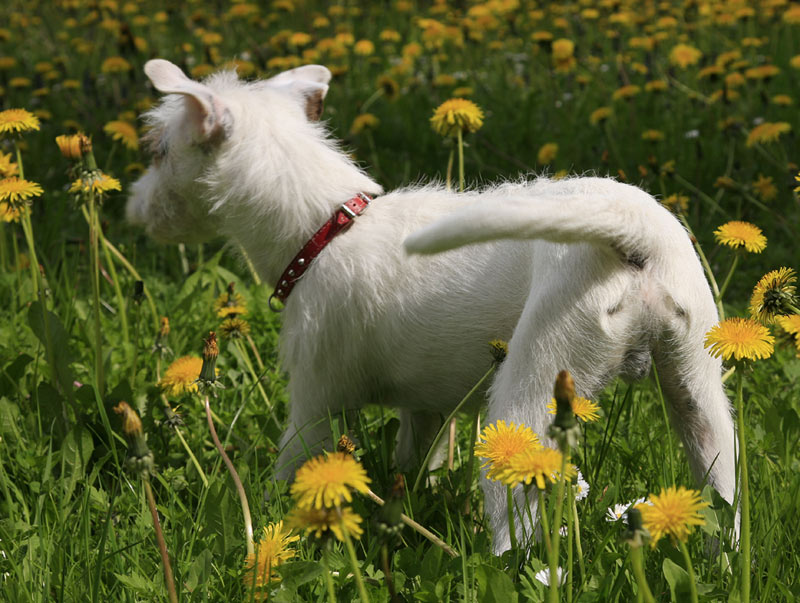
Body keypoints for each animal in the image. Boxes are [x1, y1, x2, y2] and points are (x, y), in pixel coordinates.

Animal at [128, 60, 736, 552]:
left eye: (158, 152)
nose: (136, 214)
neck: (324, 228)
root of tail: (632, 233)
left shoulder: (315, 402)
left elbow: (294, 472)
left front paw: (277, 531)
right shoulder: (425, 411)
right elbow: (415, 463)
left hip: (530, 392)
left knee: (520, 539)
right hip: (697, 386)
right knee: (721, 498)